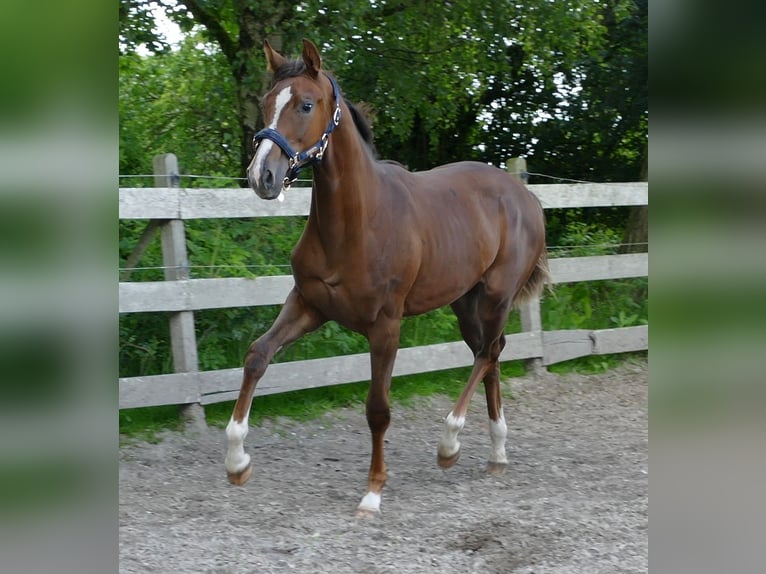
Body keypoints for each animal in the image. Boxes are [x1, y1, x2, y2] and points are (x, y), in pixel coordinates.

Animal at [224, 40, 552, 516]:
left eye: (306, 104)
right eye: (267, 102)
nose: (261, 177)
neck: (356, 224)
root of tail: (526, 195)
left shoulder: (385, 326)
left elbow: (378, 408)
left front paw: (373, 492)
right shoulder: (308, 305)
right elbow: (257, 356)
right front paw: (237, 462)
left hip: (496, 296)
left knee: (488, 353)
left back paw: (449, 444)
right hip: (464, 301)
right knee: (488, 355)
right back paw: (496, 454)